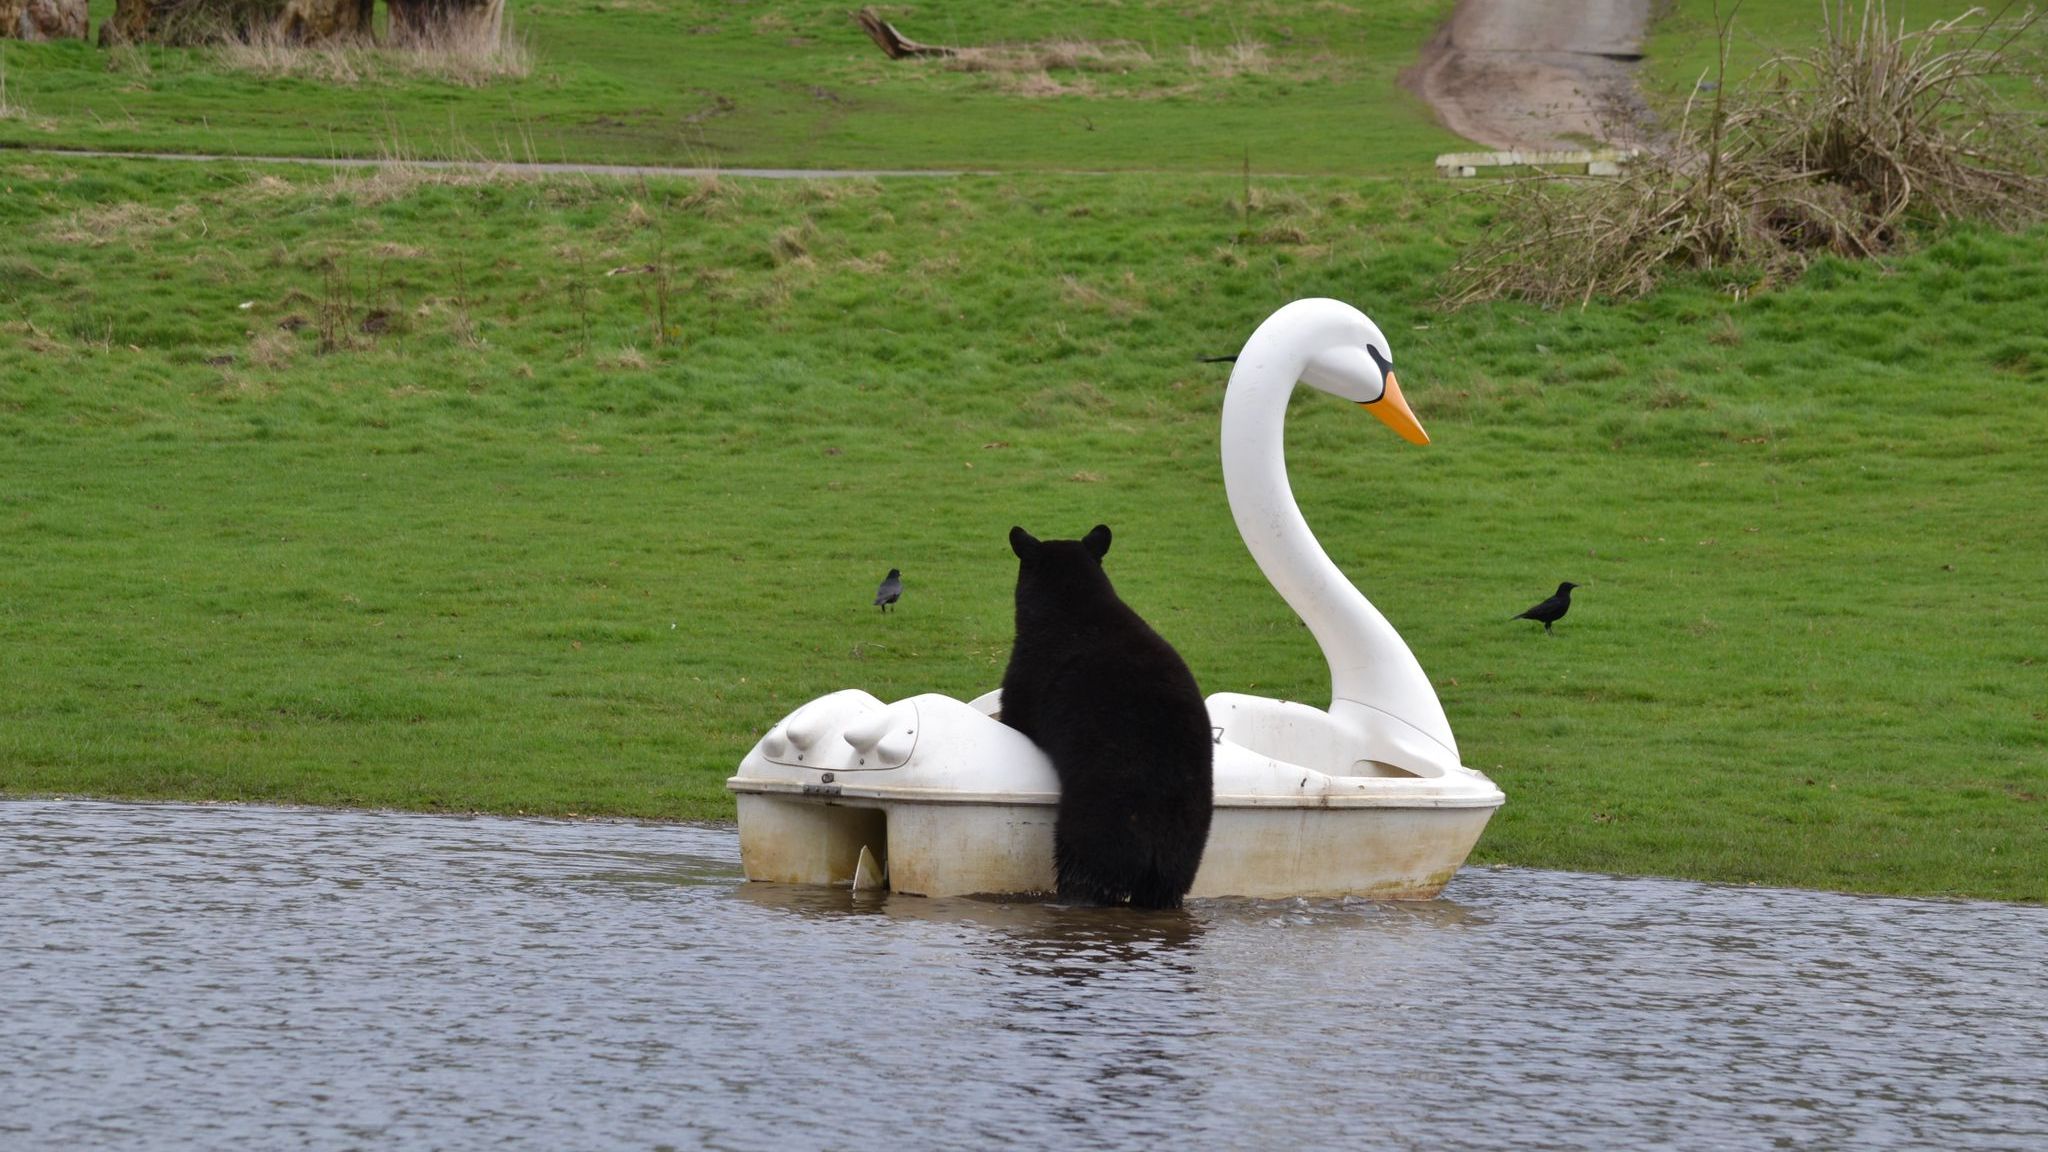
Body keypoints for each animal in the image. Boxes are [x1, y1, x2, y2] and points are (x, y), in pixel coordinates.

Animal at [995, 520, 1204, 906]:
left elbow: (1016, 715)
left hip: (1100, 829)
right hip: (1185, 852)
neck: (1072, 606)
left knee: (1084, 872)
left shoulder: (1027, 675)